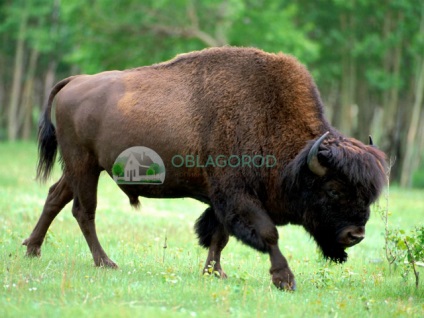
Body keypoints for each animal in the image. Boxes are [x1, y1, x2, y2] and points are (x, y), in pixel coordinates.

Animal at [24, 46, 388, 290]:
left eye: (368, 195)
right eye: (333, 190)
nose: (356, 235)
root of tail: (75, 81)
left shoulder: (222, 199)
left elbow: (219, 236)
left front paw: (215, 272)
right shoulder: (237, 195)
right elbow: (267, 233)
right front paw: (284, 279)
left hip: (80, 168)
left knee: (55, 197)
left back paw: (32, 249)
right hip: (83, 166)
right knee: (83, 211)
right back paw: (105, 262)